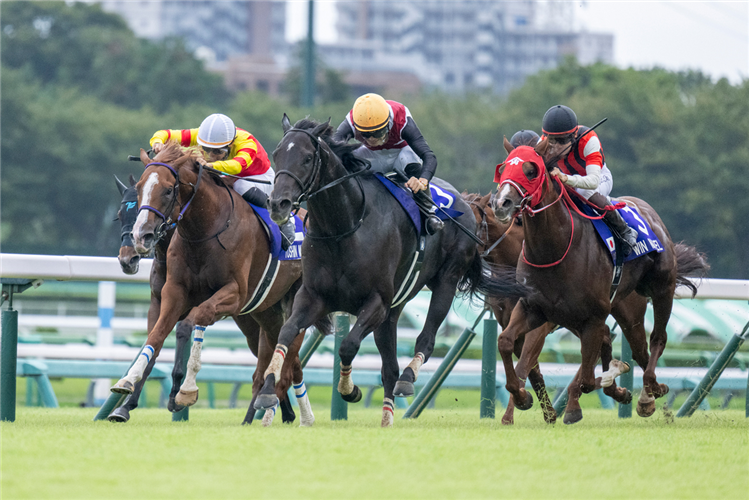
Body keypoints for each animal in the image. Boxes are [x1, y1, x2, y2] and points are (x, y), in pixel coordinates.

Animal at [111, 144, 330, 426]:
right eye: (139, 189)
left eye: (168, 189)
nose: (139, 240)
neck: (204, 231)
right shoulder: (170, 294)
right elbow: (156, 336)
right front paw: (126, 391)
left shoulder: (233, 294)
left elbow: (192, 321)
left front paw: (184, 391)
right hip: (263, 313)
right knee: (276, 360)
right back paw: (275, 413)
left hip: (295, 302)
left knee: (289, 355)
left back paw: (280, 410)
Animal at [251, 116, 520, 426]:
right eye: (276, 154)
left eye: (307, 158)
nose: (277, 204)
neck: (344, 228)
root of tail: (467, 202)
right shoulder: (313, 297)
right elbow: (285, 334)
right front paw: (267, 393)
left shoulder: (376, 302)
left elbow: (348, 346)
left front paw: (350, 389)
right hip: (396, 304)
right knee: (389, 366)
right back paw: (387, 418)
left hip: (446, 281)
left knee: (425, 341)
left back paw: (408, 377)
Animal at [490, 139, 708, 424]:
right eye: (504, 168)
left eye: (531, 171)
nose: (501, 203)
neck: (554, 250)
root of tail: (646, 208)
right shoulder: (533, 308)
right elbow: (505, 343)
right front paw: (521, 396)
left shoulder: (591, 316)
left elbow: (585, 379)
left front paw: (610, 378)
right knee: (639, 351)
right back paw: (646, 395)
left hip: (660, 290)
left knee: (656, 339)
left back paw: (648, 391)